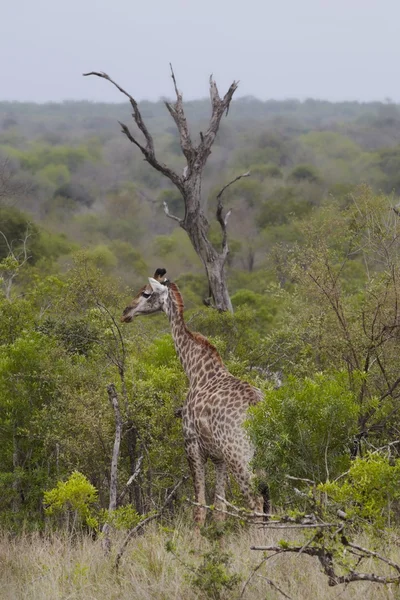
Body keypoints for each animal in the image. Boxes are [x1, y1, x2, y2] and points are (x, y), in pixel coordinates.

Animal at [120, 268, 268, 524]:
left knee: (256, 502)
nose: (126, 312)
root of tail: (258, 408)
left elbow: (199, 508)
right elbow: (220, 508)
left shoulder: (192, 445)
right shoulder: (218, 457)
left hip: (239, 455)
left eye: (146, 293)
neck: (195, 370)